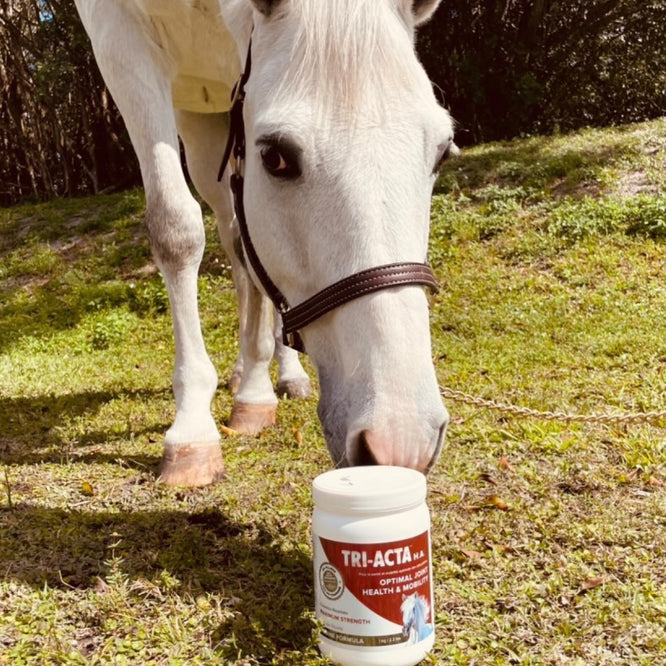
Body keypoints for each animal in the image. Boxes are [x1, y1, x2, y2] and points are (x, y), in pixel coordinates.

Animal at [74, 0, 454, 486]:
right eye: (275, 157)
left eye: (443, 151)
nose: (400, 437)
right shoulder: (118, 37)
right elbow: (176, 230)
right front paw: (193, 428)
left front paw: (255, 390)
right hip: (199, 123)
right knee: (233, 234)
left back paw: (281, 373)